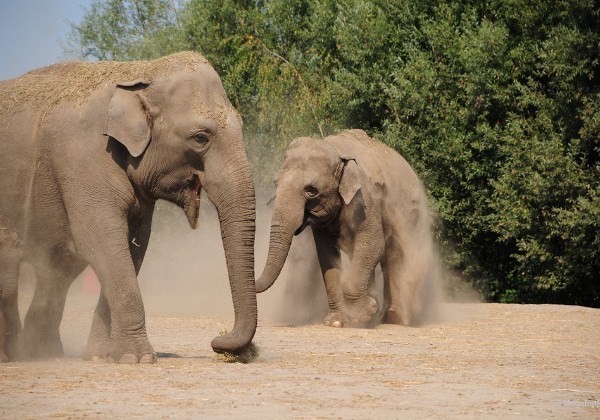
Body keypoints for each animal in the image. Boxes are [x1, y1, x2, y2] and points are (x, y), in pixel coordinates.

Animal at [0, 50, 255, 362]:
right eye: (200, 138)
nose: (218, 341)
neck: (140, 72)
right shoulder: (81, 159)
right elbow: (101, 241)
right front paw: (137, 358)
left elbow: (134, 244)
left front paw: (101, 356)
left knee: (57, 268)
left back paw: (42, 352)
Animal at [256, 130, 436, 328]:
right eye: (276, 183)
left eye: (311, 190)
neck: (336, 150)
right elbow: (327, 254)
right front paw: (336, 321)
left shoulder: (367, 198)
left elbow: (373, 244)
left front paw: (361, 316)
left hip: (409, 212)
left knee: (393, 255)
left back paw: (393, 318)